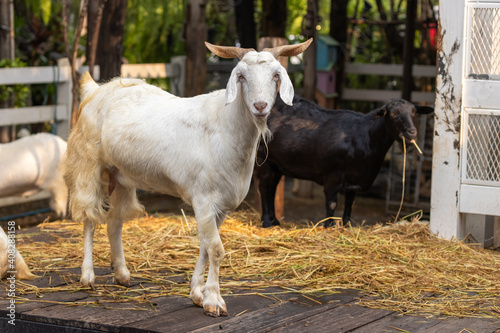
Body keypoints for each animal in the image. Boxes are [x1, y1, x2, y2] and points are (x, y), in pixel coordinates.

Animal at [64, 39, 310, 316]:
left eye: (276, 75)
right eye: (241, 76)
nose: (260, 106)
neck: (226, 126)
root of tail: (95, 90)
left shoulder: (219, 206)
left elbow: (205, 247)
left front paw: (197, 294)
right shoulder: (203, 198)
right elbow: (216, 249)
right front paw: (213, 301)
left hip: (121, 174)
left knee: (114, 222)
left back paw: (122, 274)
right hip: (89, 164)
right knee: (89, 217)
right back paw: (88, 276)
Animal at [256, 95, 432, 226]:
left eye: (414, 112)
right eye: (393, 114)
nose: (412, 132)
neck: (365, 137)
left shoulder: (355, 178)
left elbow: (349, 204)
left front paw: (346, 226)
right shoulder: (333, 175)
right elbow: (332, 204)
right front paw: (328, 226)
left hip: (276, 164)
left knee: (272, 188)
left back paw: (275, 220)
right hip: (262, 159)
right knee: (264, 188)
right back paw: (266, 222)